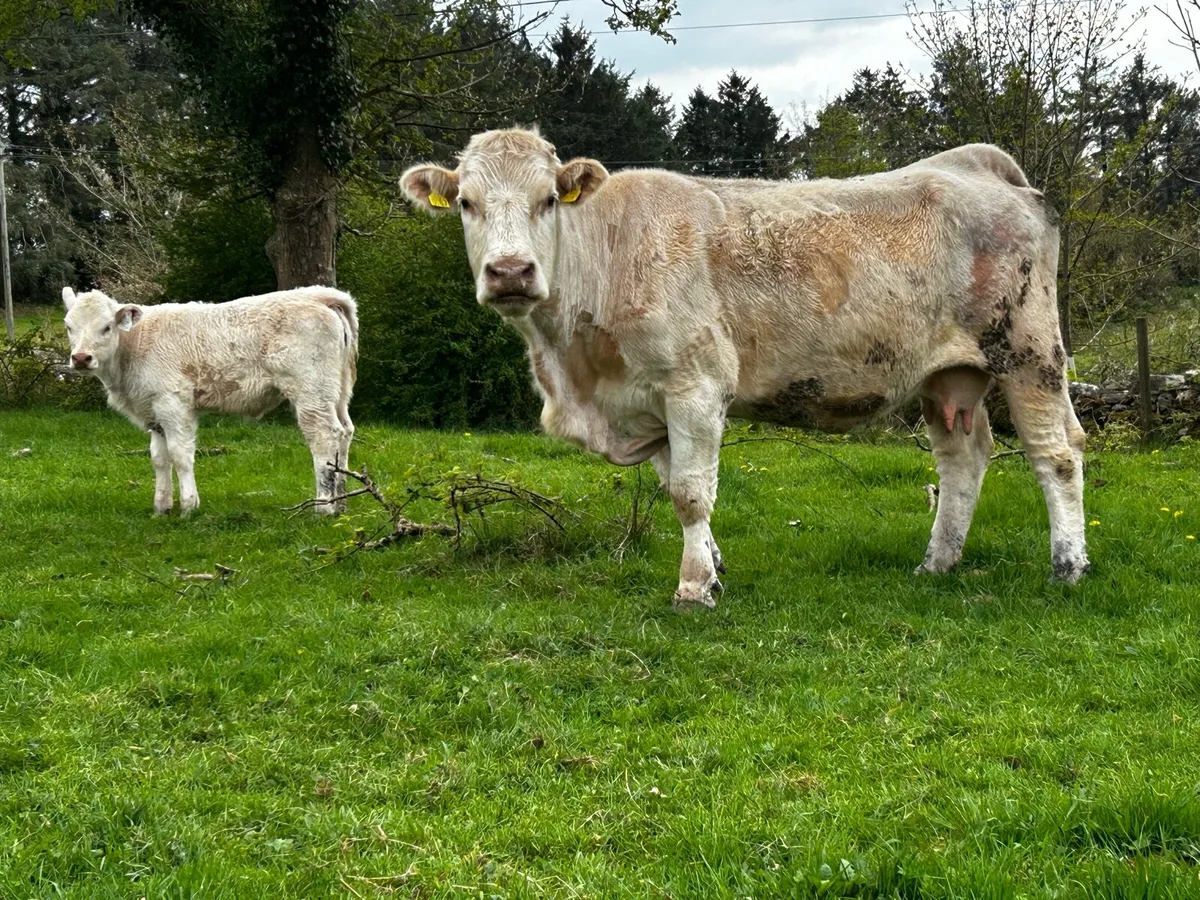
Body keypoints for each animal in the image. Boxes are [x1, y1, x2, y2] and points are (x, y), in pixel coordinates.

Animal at [61, 286, 358, 517]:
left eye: (107, 327)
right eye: (68, 326)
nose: (81, 358)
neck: (133, 345)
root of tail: (319, 296)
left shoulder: (174, 404)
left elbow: (180, 455)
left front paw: (189, 506)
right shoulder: (153, 411)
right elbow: (159, 458)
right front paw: (161, 507)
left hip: (310, 391)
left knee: (323, 436)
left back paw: (323, 507)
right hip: (337, 390)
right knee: (345, 432)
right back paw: (341, 504)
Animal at [401, 128, 1089, 609]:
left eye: (548, 201)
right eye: (466, 203)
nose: (510, 272)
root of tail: (975, 164)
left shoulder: (696, 383)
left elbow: (689, 492)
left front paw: (692, 588)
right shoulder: (651, 402)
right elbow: (676, 485)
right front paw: (712, 567)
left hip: (1030, 352)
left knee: (1056, 453)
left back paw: (1069, 566)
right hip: (944, 373)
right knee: (963, 457)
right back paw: (937, 562)